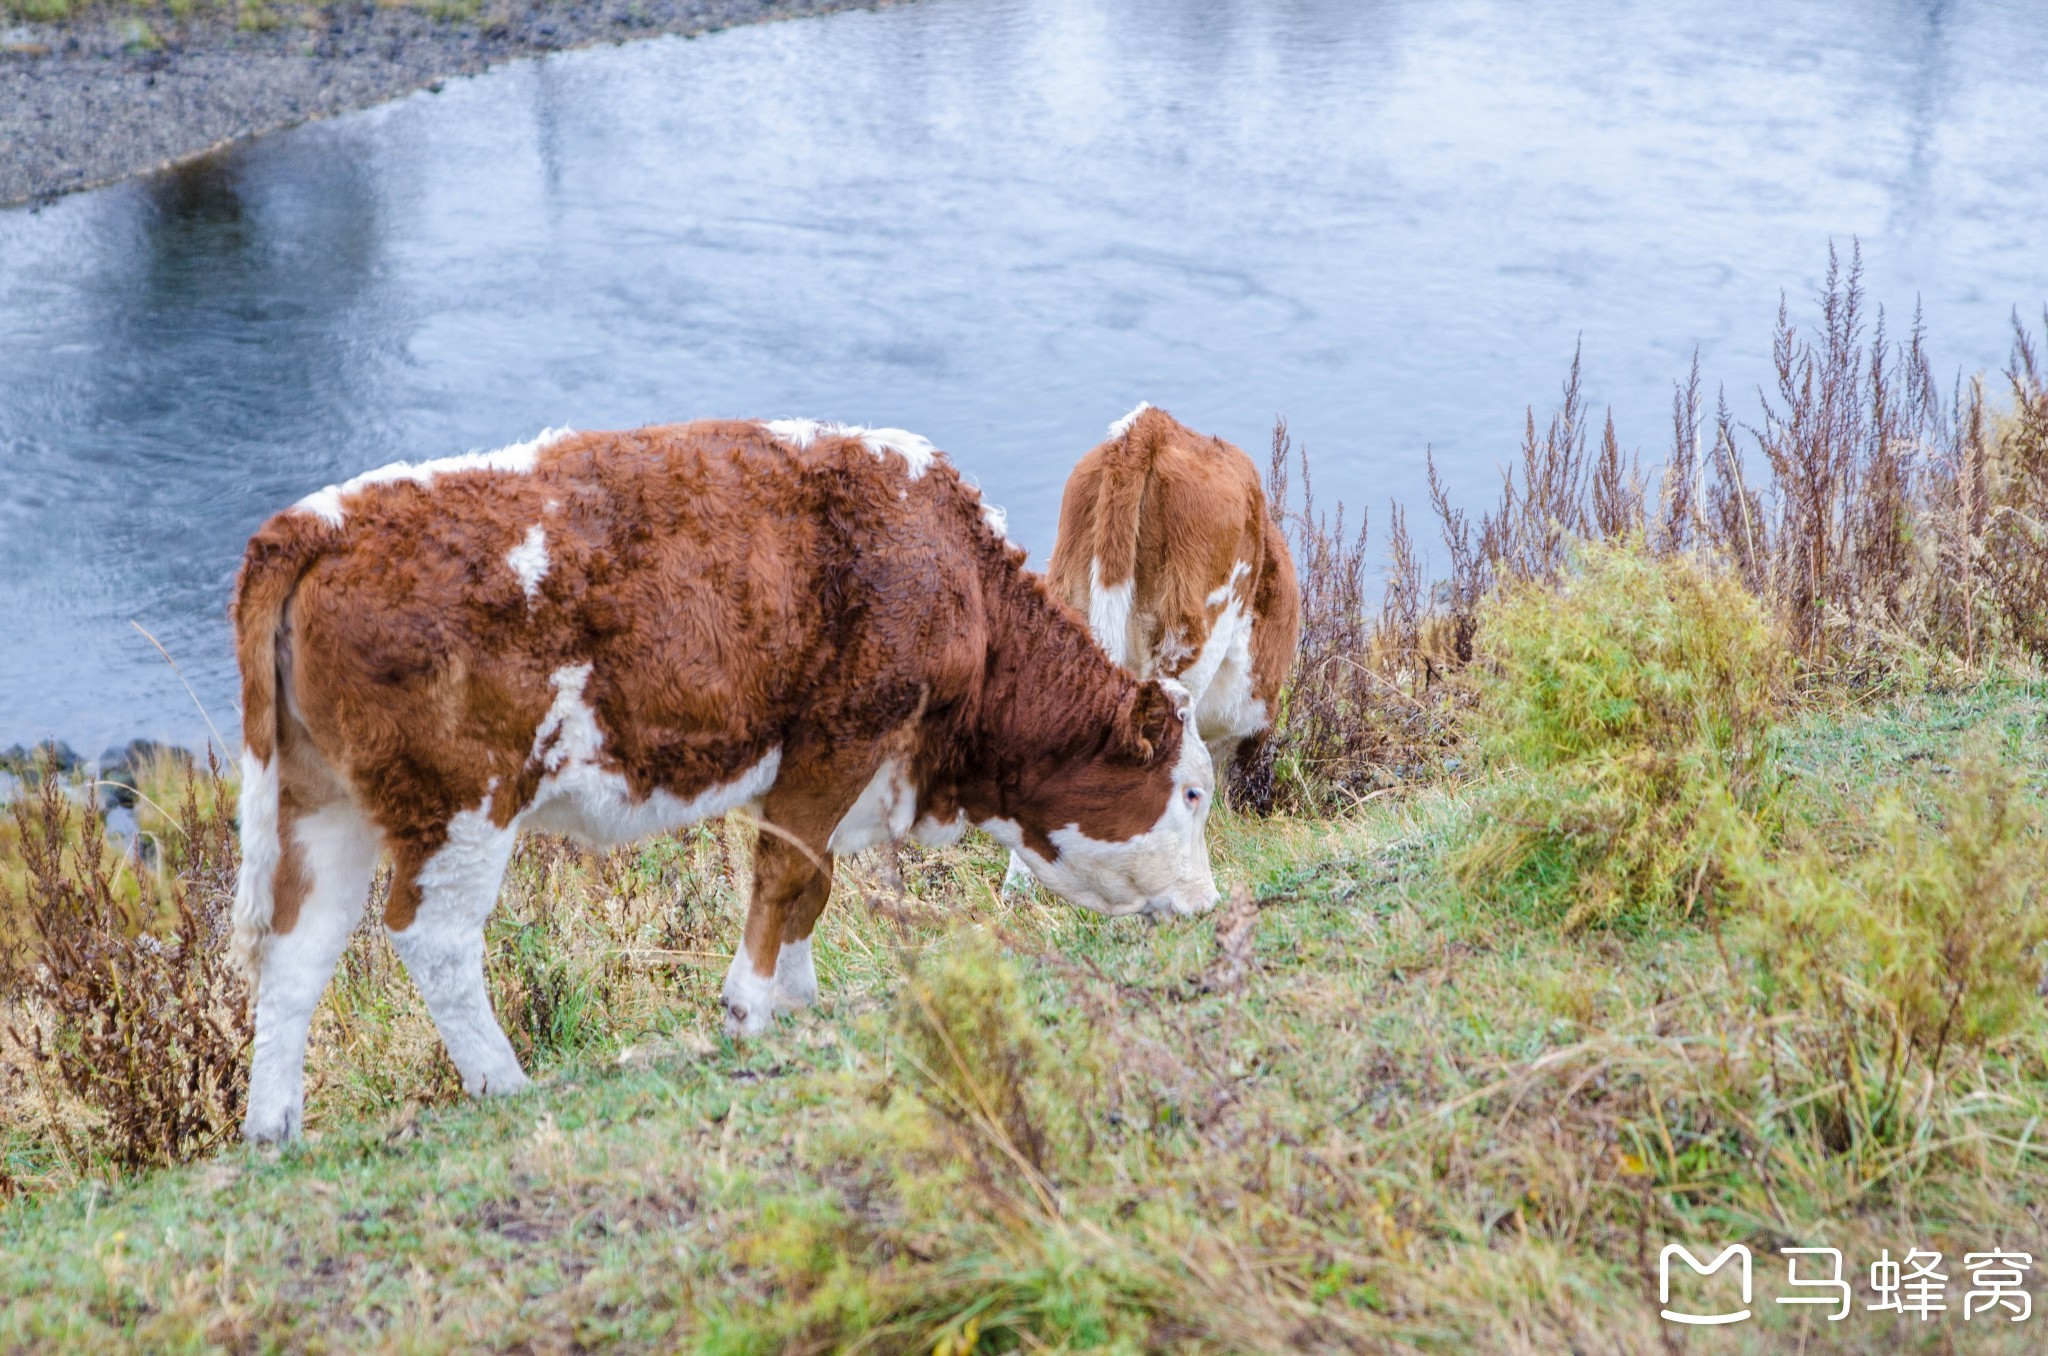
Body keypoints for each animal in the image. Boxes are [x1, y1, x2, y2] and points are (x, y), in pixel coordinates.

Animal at [234, 419, 1212, 1138]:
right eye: (1195, 793)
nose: (1209, 905)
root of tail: (318, 523)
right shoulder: (841, 735)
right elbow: (785, 874)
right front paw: (749, 1008)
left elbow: (814, 879)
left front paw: (801, 998)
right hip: (461, 801)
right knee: (429, 935)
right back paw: (504, 1081)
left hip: (322, 803)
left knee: (297, 944)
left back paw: (274, 1128)